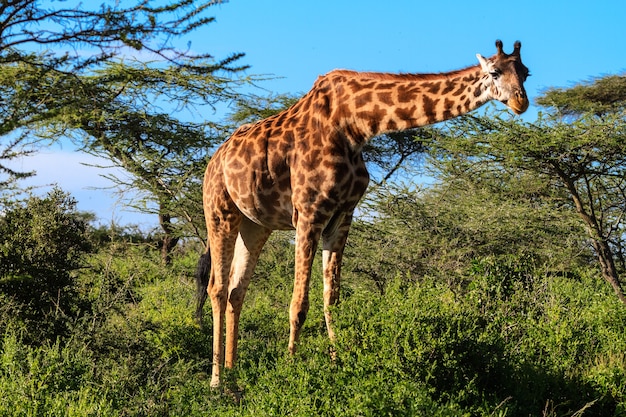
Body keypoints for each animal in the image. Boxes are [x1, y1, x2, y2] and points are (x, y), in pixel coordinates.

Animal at [194, 39, 528, 386]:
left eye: (526, 72)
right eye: (494, 72)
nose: (521, 102)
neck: (355, 126)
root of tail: (214, 159)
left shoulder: (342, 215)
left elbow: (332, 300)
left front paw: (338, 366)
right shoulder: (309, 213)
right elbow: (299, 304)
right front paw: (291, 371)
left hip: (256, 224)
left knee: (236, 290)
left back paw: (233, 374)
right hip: (219, 211)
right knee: (217, 288)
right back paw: (216, 381)